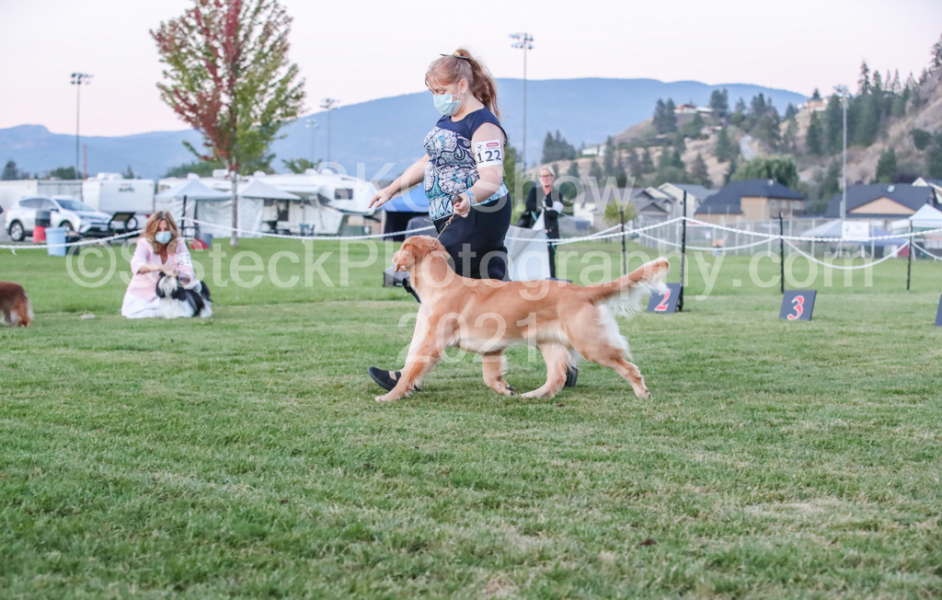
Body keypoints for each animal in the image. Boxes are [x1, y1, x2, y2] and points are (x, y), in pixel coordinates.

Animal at [377, 235, 669, 402]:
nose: (392, 260)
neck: (441, 285)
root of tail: (582, 290)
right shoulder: (491, 349)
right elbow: (490, 377)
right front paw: (505, 389)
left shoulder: (431, 344)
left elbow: (409, 372)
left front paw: (390, 396)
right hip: (550, 343)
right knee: (557, 377)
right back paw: (532, 395)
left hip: (591, 344)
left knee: (628, 367)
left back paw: (642, 392)